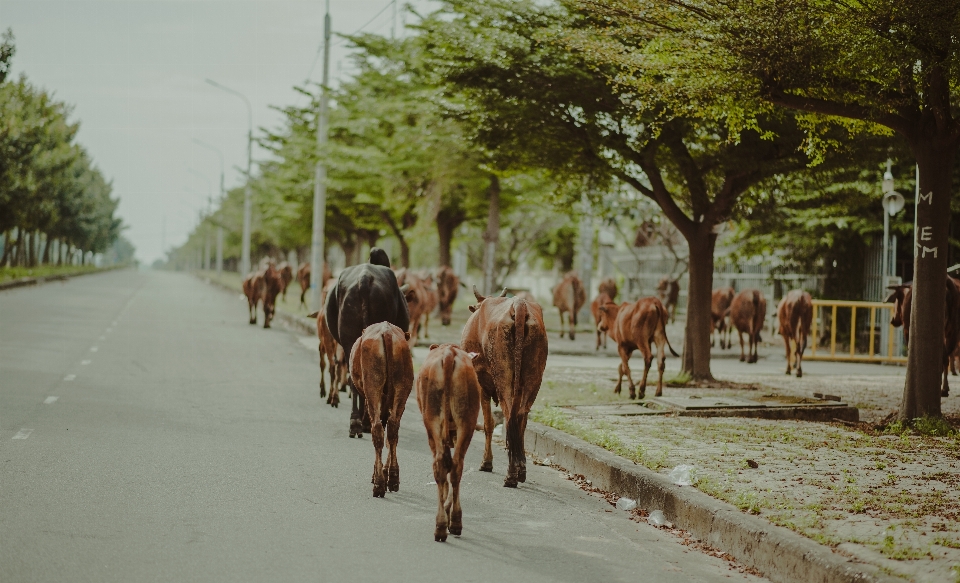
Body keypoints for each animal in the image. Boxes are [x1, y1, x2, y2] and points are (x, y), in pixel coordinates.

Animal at [350, 324, 414, 498]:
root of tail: (387, 332)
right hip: (402, 390)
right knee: (393, 429)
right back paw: (393, 478)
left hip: (373, 388)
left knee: (378, 430)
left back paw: (378, 483)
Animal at [418, 344, 484, 540]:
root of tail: (449, 352)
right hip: (466, 422)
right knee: (455, 467)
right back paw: (452, 522)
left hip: (432, 420)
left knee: (441, 464)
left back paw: (443, 524)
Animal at [464, 288, 548, 488]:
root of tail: (519, 305)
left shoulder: (481, 383)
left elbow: (488, 424)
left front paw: (486, 463)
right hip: (534, 378)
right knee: (521, 417)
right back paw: (520, 470)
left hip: (502, 377)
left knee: (509, 414)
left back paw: (511, 475)